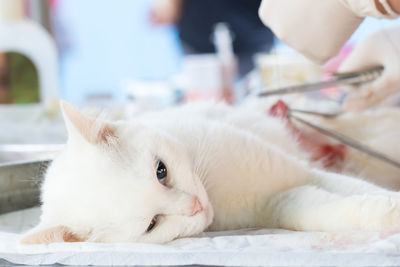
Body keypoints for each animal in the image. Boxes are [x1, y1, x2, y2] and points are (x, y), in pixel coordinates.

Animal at [21, 100, 400, 245]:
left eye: (161, 171)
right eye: (152, 224)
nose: (196, 207)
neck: (221, 196)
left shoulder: (304, 173)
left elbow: (364, 192)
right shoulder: (284, 198)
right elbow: (334, 210)